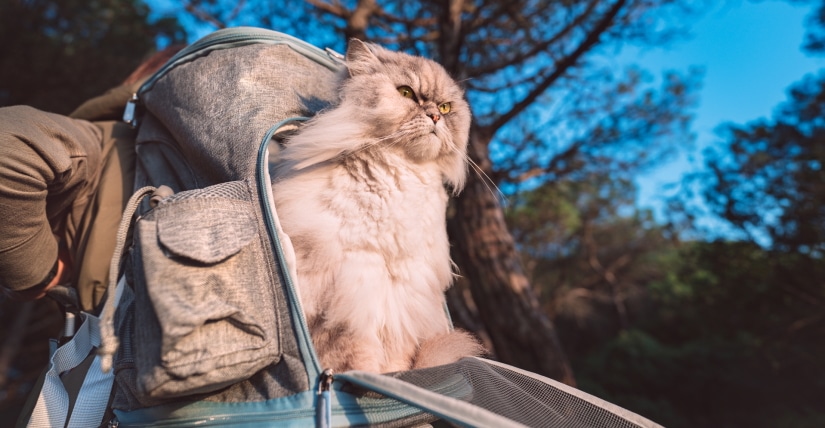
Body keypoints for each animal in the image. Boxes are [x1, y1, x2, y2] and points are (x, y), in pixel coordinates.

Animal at [270, 41, 482, 374]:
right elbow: (356, 361)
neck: (401, 175)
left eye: (446, 108)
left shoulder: (403, 299)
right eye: (406, 93)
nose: (434, 116)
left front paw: (394, 377)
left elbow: (395, 360)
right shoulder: (352, 297)